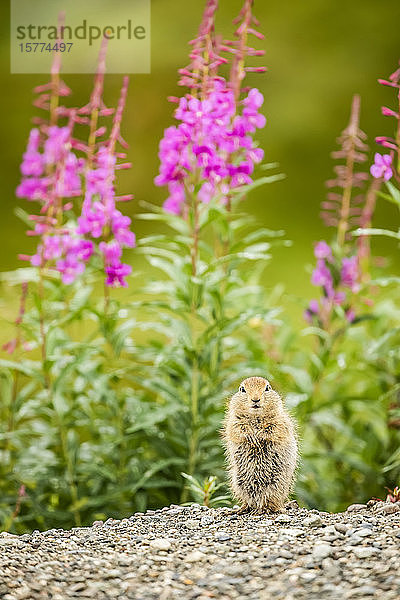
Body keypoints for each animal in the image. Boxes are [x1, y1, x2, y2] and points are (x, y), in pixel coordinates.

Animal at [222, 378, 296, 512]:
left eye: (267, 388)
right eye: (242, 389)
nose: (255, 399)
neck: (256, 416)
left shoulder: (280, 421)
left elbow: (273, 429)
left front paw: (260, 437)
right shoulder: (234, 422)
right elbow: (238, 430)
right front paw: (252, 437)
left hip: (276, 485)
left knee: (270, 502)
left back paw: (266, 509)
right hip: (238, 483)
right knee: (247, 501)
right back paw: (241, 509)